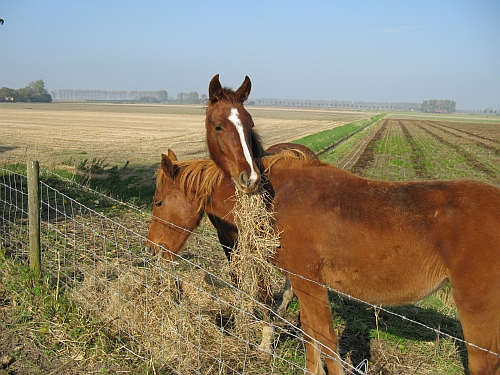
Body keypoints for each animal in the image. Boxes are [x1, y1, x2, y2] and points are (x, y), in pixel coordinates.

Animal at [146, 151, 500, 375]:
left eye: (159, 202)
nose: (152, 251)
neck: (277, 198)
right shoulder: (303, 285)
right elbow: (311, 337)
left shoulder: (309, 283)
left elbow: (326, 340)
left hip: (477, 310)